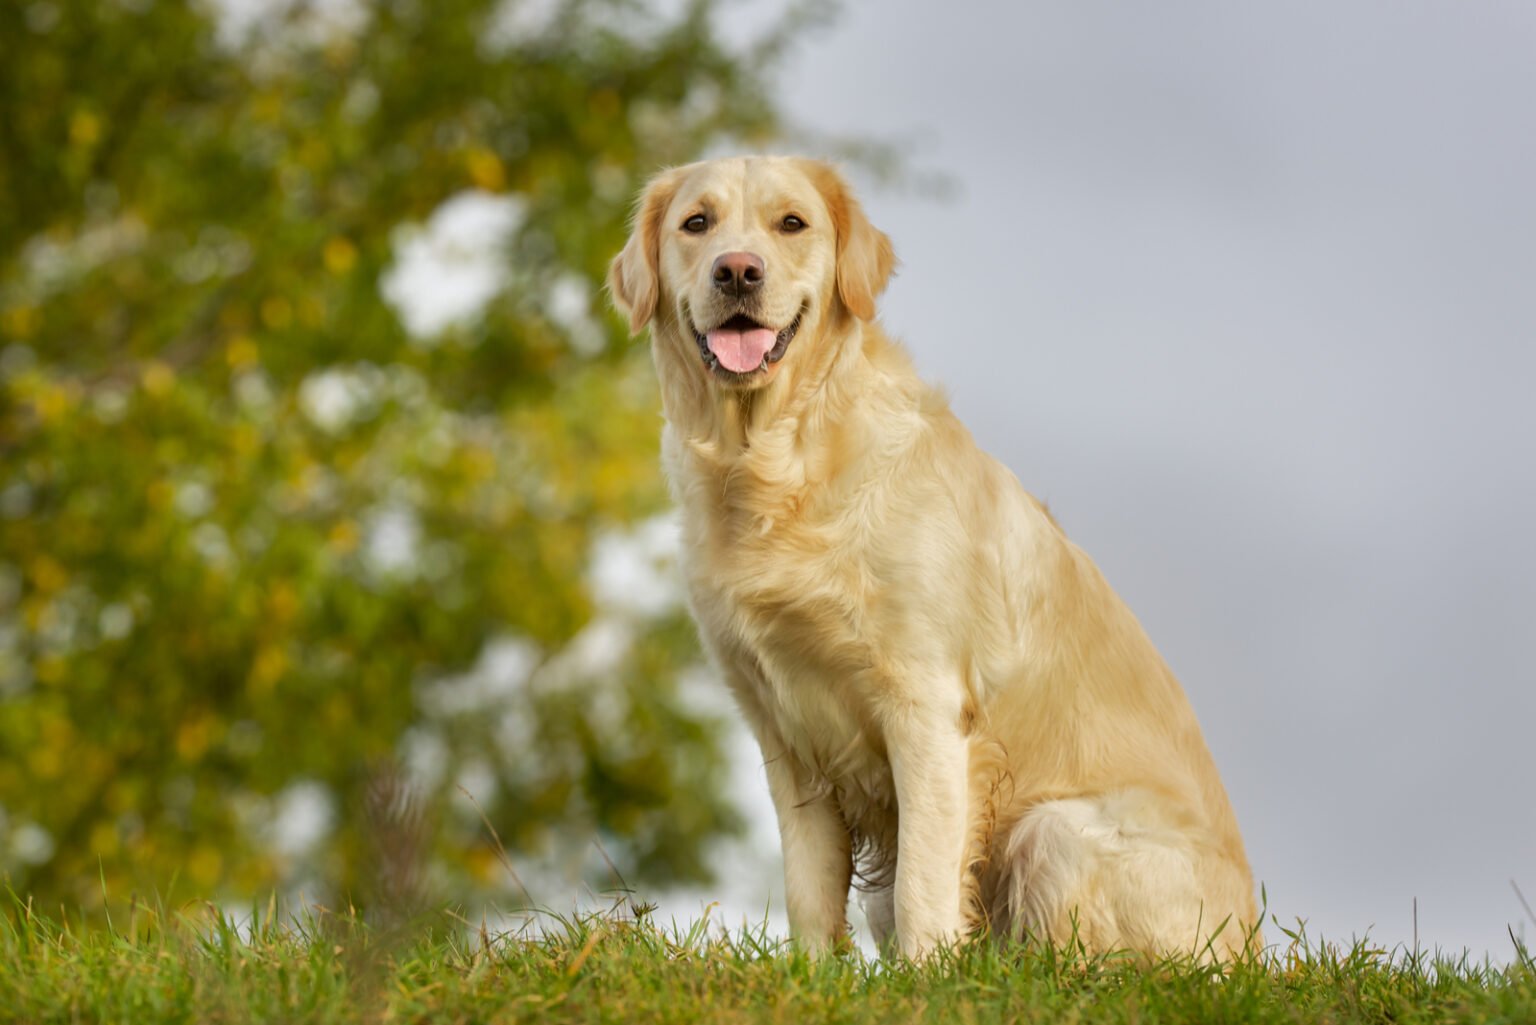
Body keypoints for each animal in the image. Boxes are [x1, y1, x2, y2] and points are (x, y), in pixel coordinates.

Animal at [608, 154, 1259, 965]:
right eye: (697, 224)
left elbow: (924, 881)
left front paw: (927, 976)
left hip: (1054, 831)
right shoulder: (783, 732)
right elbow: (809, 890)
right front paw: (814, 975)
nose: (737, 271)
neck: (778, 463)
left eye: (792, 223)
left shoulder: (926, 705)